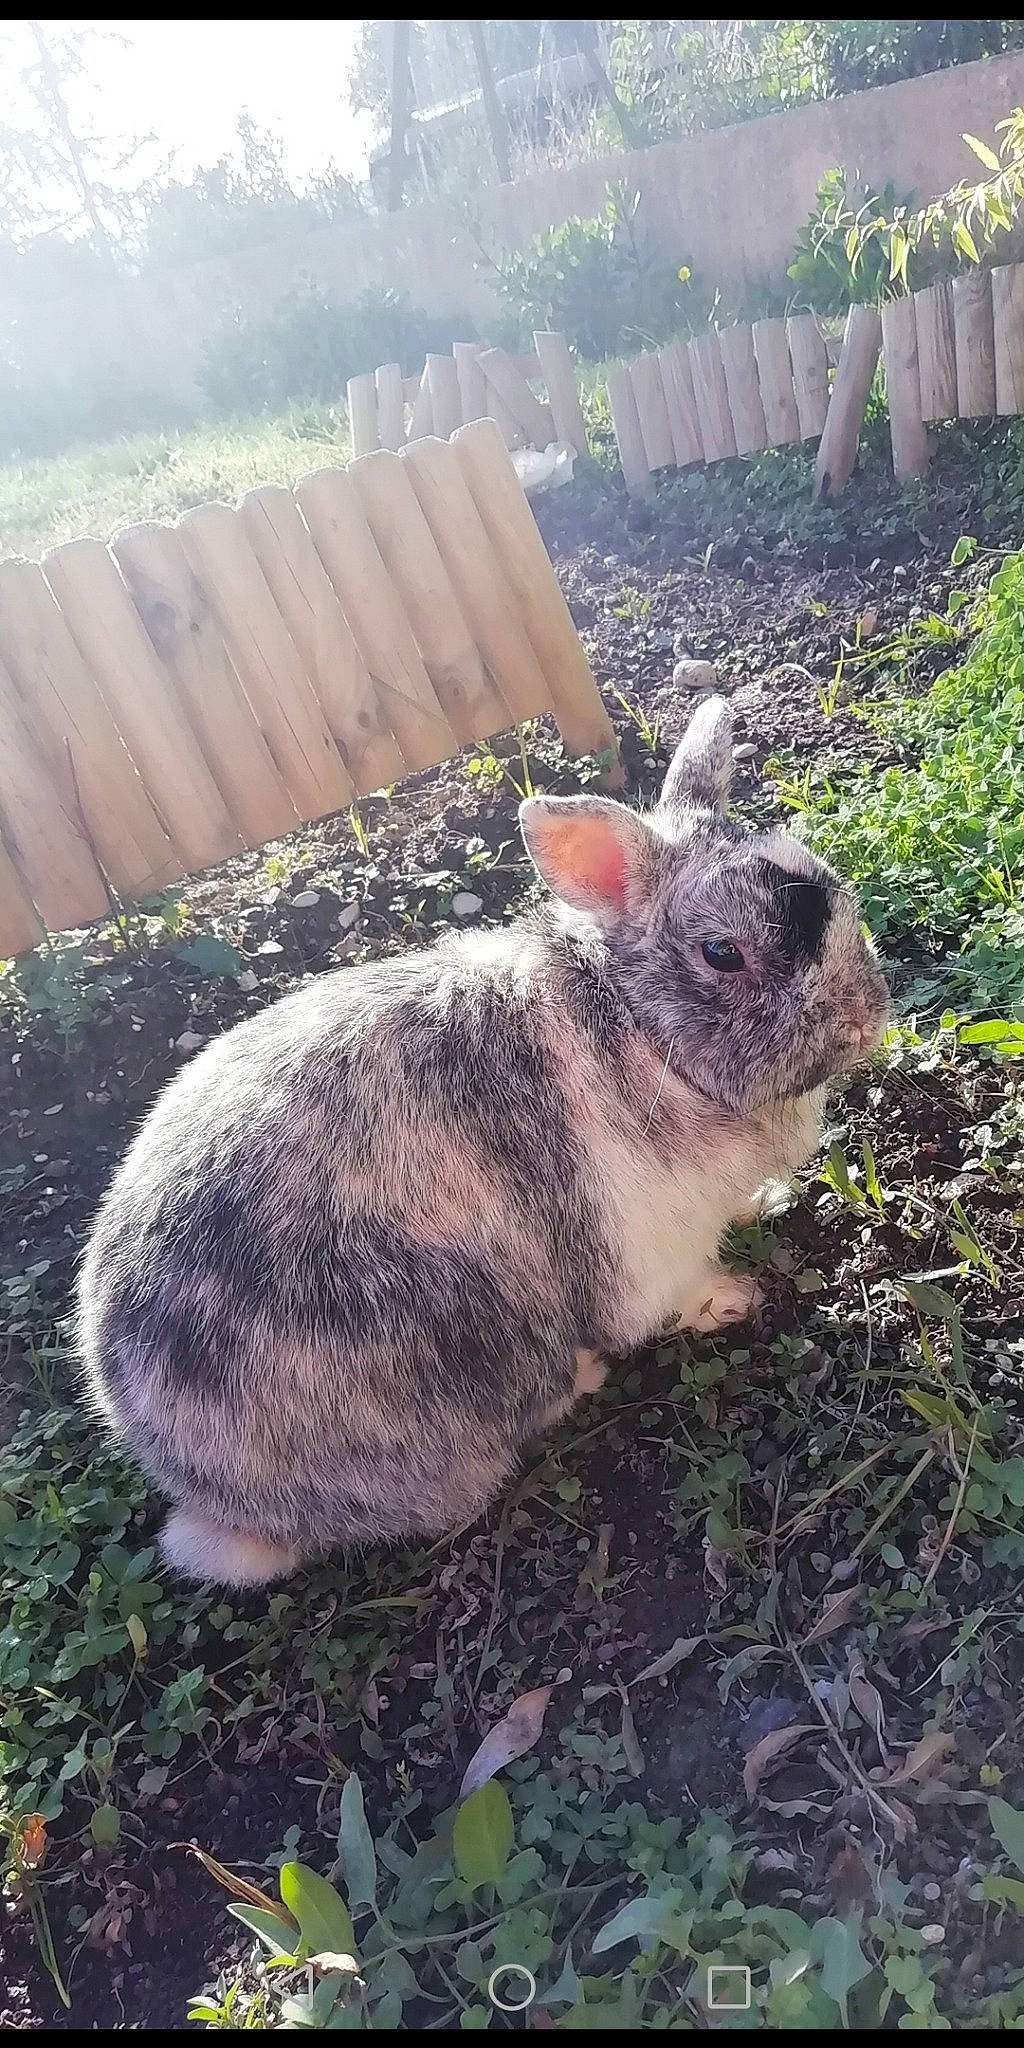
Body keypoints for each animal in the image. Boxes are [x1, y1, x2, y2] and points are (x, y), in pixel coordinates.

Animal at [77, 696, 888, 1588]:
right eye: (721, 953)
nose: (867, 1017)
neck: (639, 1029)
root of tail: (228, 1509)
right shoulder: (644, 1251)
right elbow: (673, 1299)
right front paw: (734, 1298)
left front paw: (766, 1202)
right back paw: (581, 1375)